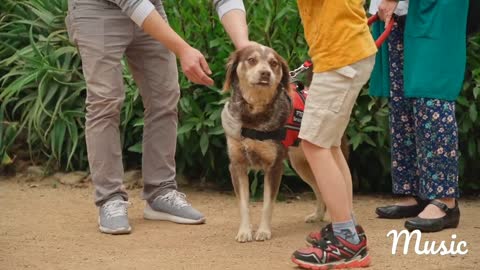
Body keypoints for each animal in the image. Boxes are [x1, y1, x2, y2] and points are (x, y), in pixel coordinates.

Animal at [220, 44, 330, 243]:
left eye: (274, 63)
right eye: (252, 60)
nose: (265, 73)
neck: (254, 113)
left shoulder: (274, 166)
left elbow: (267, 204)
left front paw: (263, 231)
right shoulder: (237, 165)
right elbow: (243, 204)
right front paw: (244, 231)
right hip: (301, 164)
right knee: (319, 188)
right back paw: (317, 215)